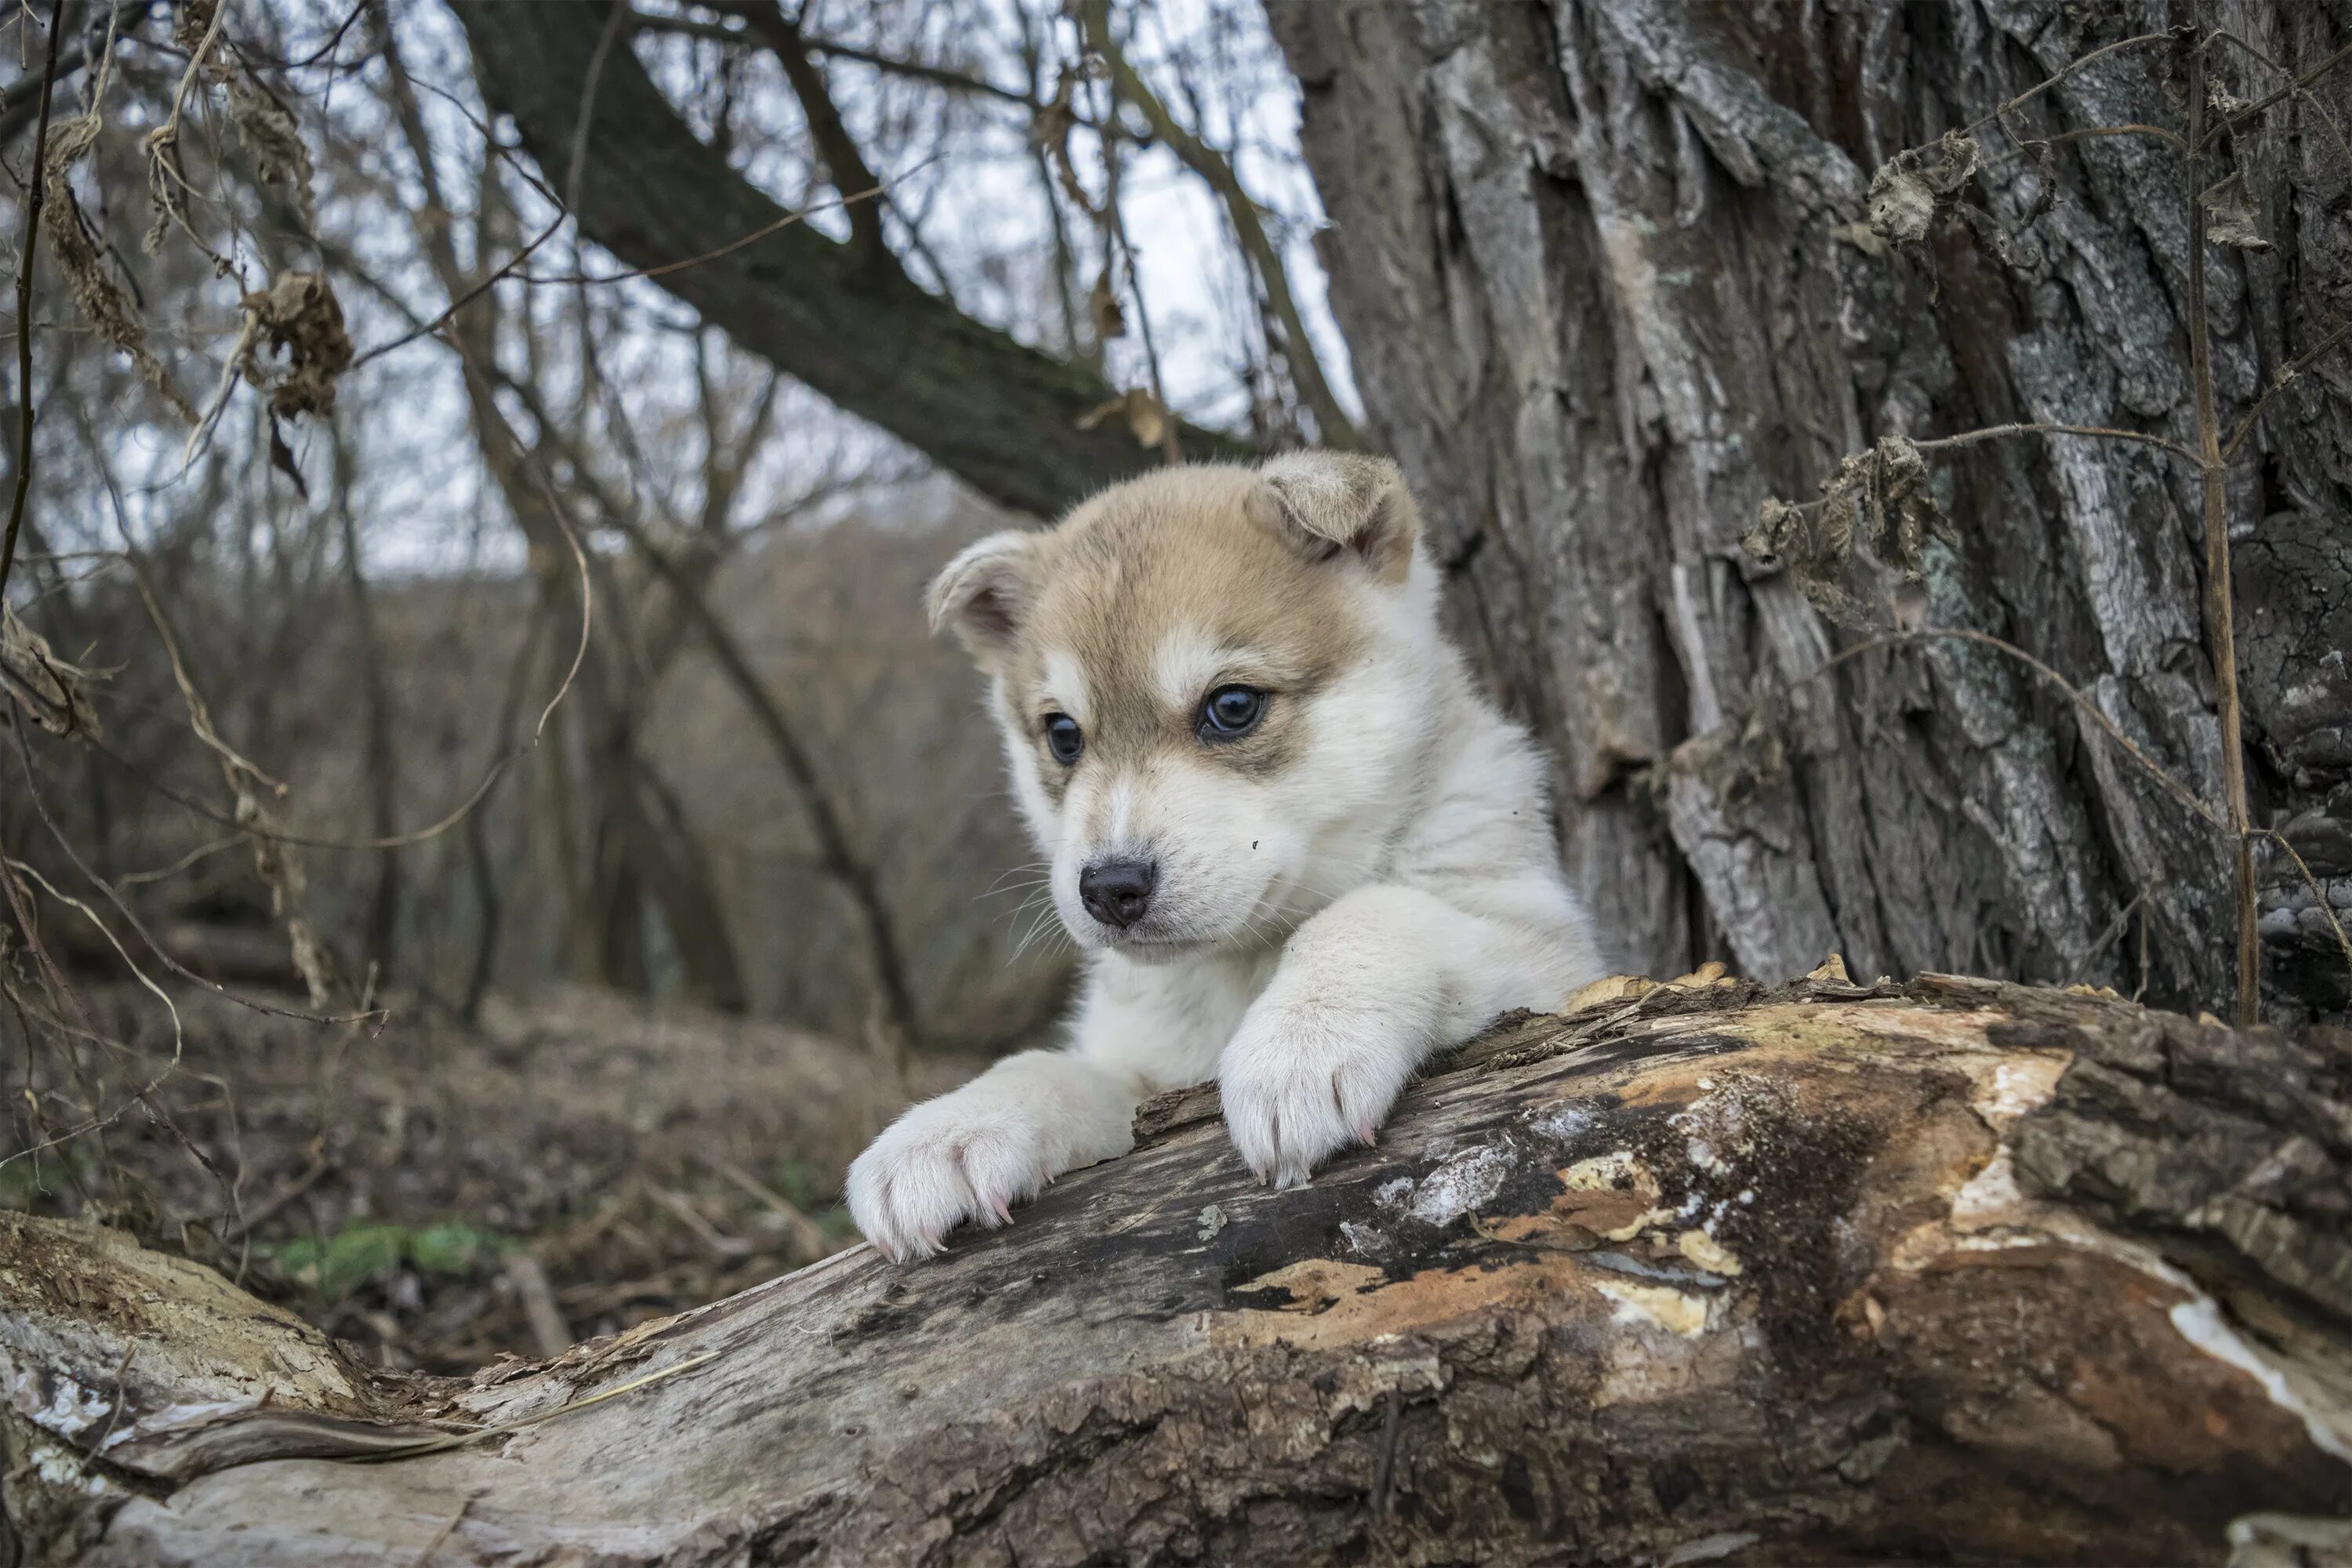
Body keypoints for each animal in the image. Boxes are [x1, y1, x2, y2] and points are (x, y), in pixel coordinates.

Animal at [847, 453, 1599, 1260]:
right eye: (1063, 736)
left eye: (1232, 707)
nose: (1110, 887)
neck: (1241, 968)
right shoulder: (1147, 1073)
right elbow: (1049, 1068)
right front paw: (949, 1129)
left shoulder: (1554, 958)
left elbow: (1374, 909)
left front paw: (1301, 1042)